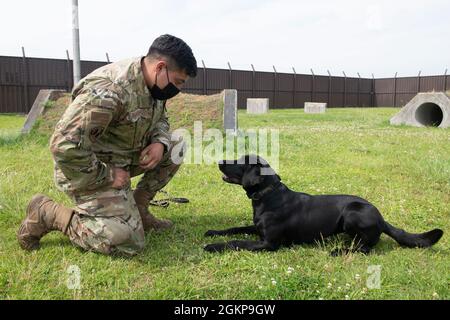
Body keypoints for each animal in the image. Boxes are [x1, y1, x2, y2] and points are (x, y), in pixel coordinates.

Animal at [204, 155, 442, 255]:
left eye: (240, 162)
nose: (219, 162)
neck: (267, 195)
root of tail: (382, 219)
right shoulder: (256, 229)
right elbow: (235, 229)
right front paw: (213, 232)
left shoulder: (269, 243)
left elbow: (236, 242)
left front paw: (213, 247)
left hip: (352, 213)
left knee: (366, 248)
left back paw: (338, 251)